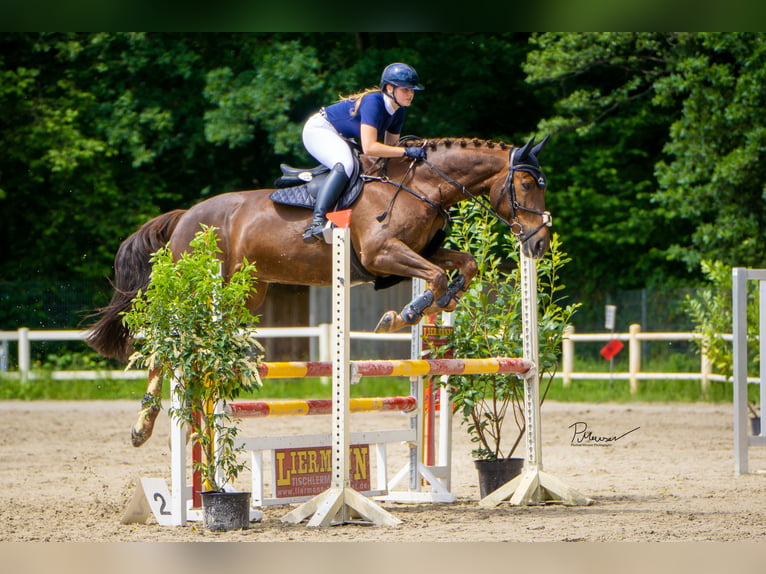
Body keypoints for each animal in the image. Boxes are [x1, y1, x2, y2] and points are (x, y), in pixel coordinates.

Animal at [85, 136, 552, 450]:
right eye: (528, 186)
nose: (540, 244)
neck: (419, 186)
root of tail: (185, 217)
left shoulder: (420, 251)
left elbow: (464, 265)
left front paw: (443, 302)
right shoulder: (383, 253)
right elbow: (435, 276)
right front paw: (403, 315)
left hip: (247, 291)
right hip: (204, 289)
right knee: (168, 347)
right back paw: (143, 427)